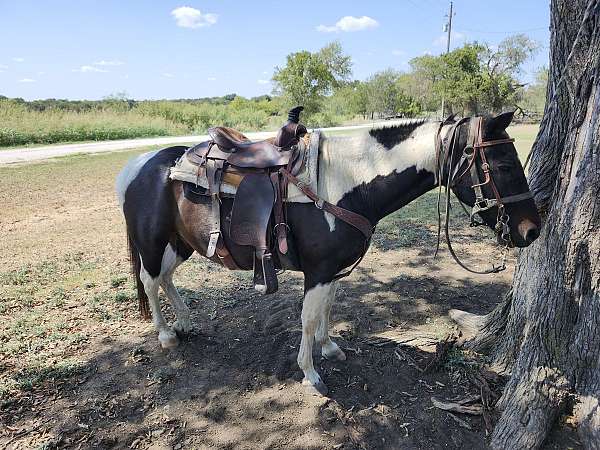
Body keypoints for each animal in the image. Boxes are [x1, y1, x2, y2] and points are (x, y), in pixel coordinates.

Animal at [115, 111, 540, 394]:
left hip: (180, 243)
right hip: (154, 242)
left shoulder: (333, 270)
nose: (531, 229)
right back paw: (166, 334)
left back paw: (185, 322)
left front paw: (329, 346)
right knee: (150, 281)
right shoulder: (317, 271)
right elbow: (306, 318)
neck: (346, 182)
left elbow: (327, 308)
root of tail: (138, 166)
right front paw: (310, 372)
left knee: (166, 278)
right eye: (503, 164)